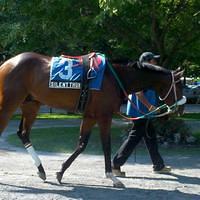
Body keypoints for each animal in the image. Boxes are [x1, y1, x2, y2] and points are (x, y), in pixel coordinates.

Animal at [0, 52, 184, 188]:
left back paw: (41, 170)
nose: (181, 107)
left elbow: (81, 144)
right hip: (9, 104)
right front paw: (112, 177)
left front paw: (60, 172)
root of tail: (7, 63)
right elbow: (106, 145)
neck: (114, 77)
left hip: (31, 104)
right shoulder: (104, 116)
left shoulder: (90, 116)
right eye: (180, 85)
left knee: (23, 133)